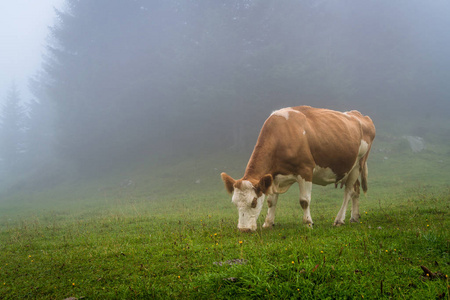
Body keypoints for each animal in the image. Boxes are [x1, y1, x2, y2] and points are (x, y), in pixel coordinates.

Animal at [221, 105, 376, 232]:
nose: (243, 229)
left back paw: (339, 220)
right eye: (234, 203)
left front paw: (308, 223)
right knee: (356, 190)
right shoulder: (273, 177)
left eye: (253, 202)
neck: (281, 135)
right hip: (351, 168)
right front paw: (268, 223)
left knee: (348, 192)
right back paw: (354, 217)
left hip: (358, 163)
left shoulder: (305, 171)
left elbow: (304, 201)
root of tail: (360, 115)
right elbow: (271, 201)